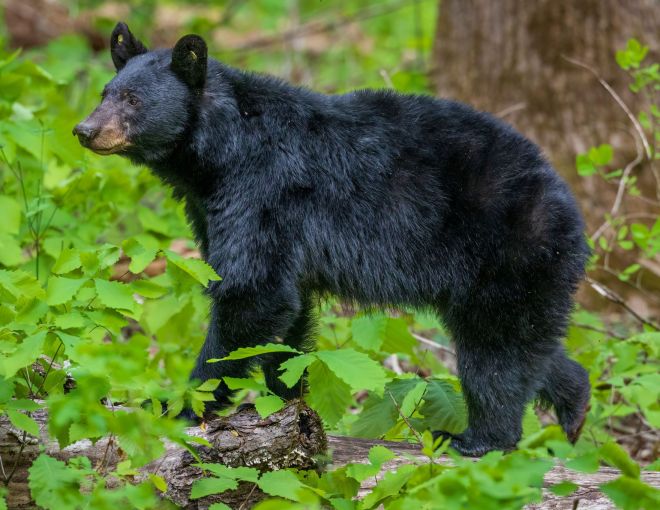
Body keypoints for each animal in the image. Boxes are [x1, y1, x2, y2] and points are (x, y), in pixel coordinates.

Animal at [73, 22, 591, 456]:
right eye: (104, 92)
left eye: (133, 100)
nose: (85, 129)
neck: (221, 150)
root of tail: (567, 201)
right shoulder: (215, 210)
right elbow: (286, 313)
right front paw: (286, 402)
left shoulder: (261, 192)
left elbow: (251, 293)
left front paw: (179, 405)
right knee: (531, 345)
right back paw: (576, 406)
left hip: (508, 249)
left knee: (495, 354)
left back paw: (477, 438)